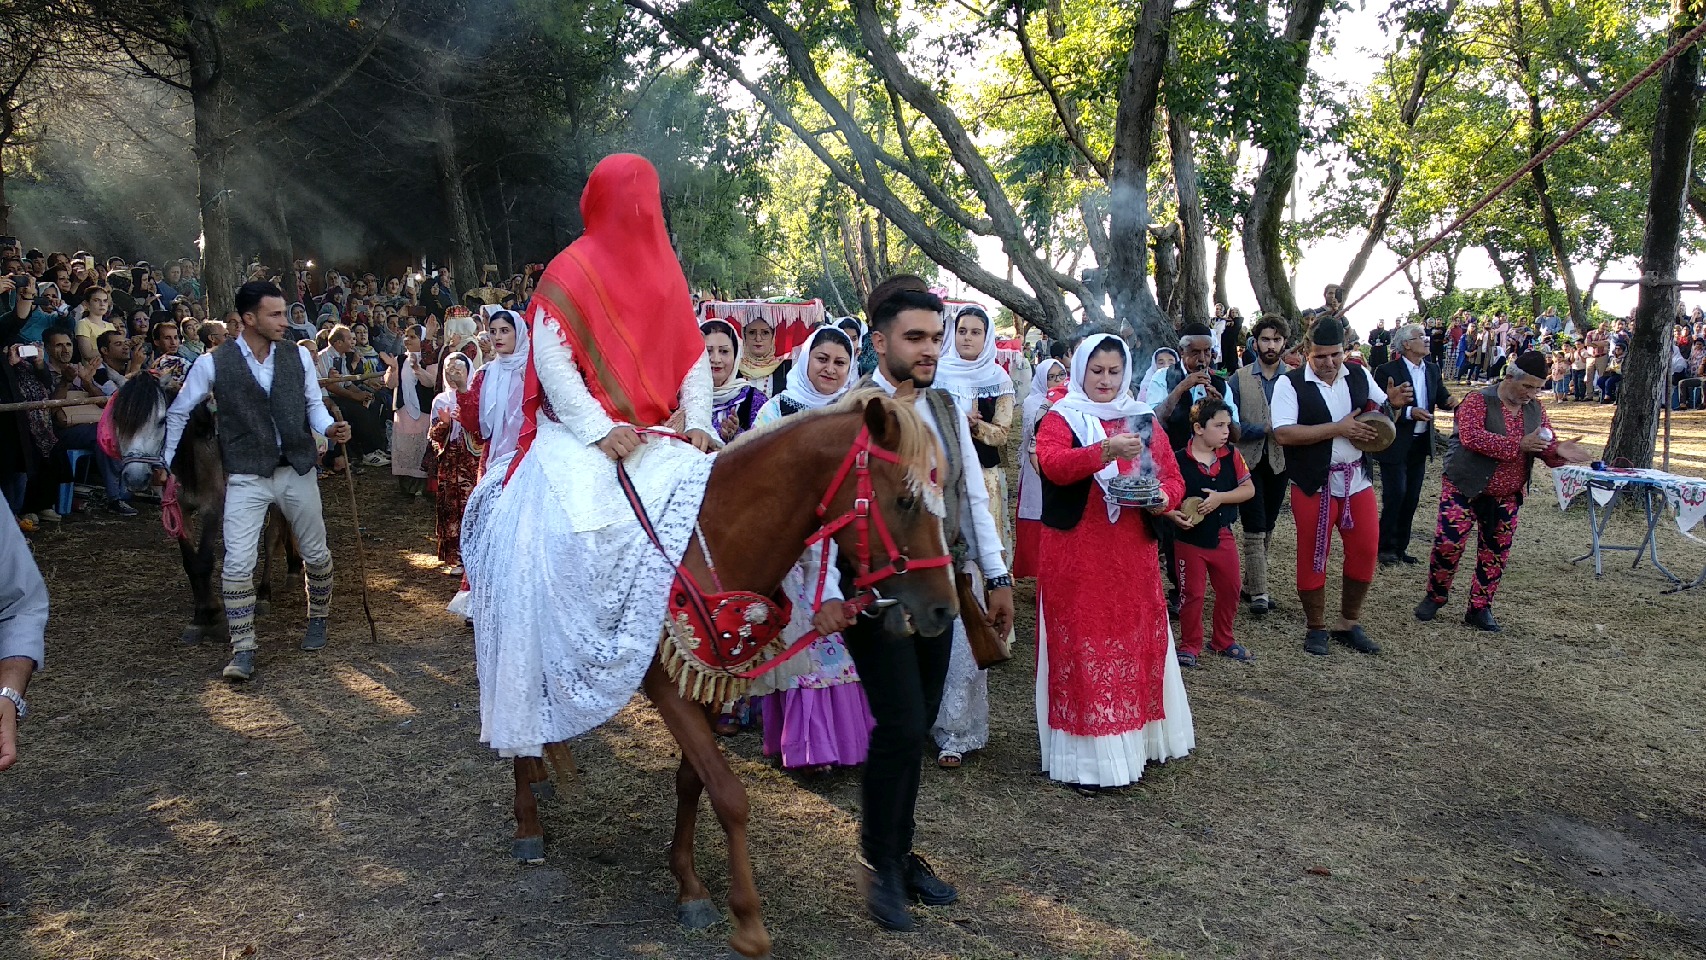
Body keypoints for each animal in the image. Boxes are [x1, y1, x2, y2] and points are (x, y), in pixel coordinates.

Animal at [107, 371, 303, 641]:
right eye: (118, 419)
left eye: (161, 421)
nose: (135, 477)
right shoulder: (178, 509)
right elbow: (191, 562)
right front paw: (201, 615)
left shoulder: (213, 506)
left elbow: (205, 559)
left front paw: (214, 615)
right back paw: (294, 566)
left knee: (272, 535)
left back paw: (265, 593)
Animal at [504, 390, 962, 960]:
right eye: (905, 501)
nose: (944, 610)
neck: (711, 540)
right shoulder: (668, 685)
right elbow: (729, 794)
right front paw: (747, 921)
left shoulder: (705, 680)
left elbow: (692, 782)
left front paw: (688, 884)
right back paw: (527, 821)